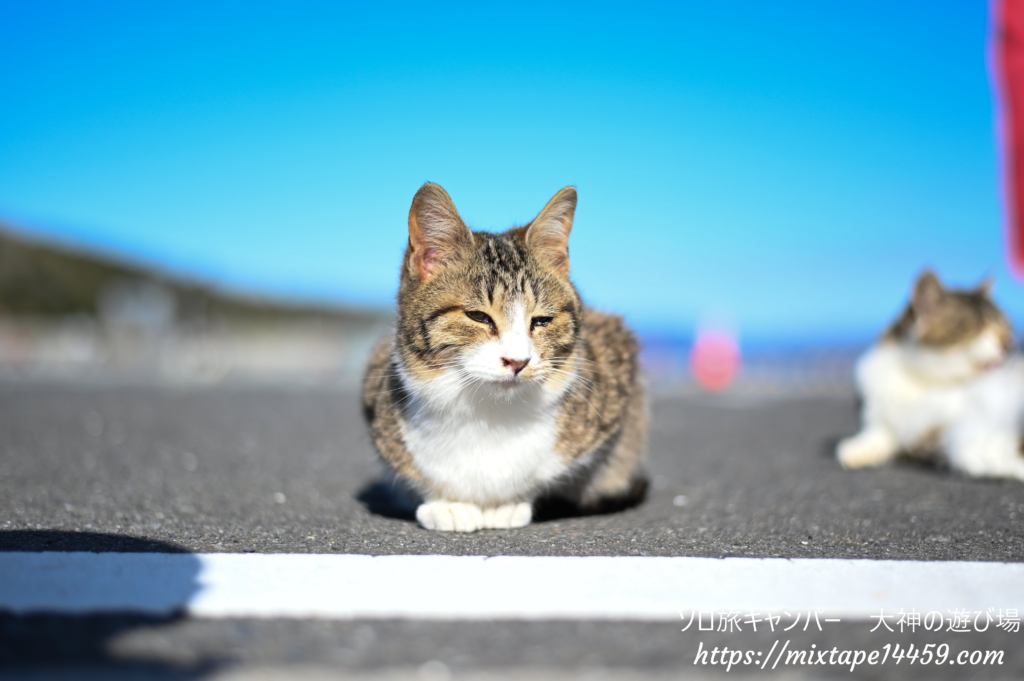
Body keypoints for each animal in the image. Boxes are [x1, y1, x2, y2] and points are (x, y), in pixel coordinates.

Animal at [362, 184, 647, 532]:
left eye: (542, 321)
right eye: (478, 316)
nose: (518, 361)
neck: (489, 412)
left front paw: (509, 504)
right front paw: (445, 503)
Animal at [835, 268, 1019, 481]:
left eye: (1006, 326)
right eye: (977, 328)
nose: (1010, 342)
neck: (921, 381)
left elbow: (974, 447)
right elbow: (880, 433)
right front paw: (857, 450)